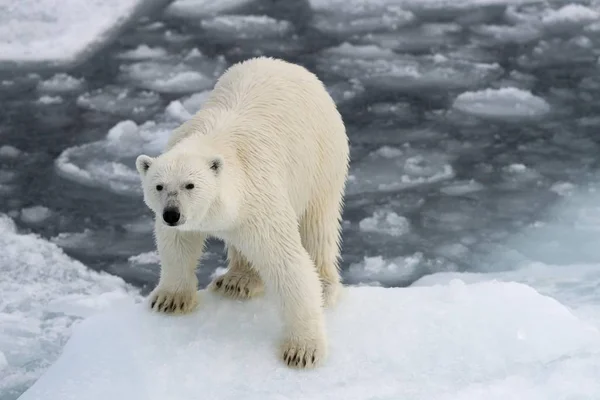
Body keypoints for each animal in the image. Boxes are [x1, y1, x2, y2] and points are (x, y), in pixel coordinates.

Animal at [136, 57, 350, 368]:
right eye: (159, 186)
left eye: (190, 184)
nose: (171, 214)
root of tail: (290, 65)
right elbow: (177, 245)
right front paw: (169, 300)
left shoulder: (259, 196)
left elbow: (286, 262)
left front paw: (302, 350)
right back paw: (236, 281)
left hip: (323, 158)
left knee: (318, 223)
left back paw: (325, 285)